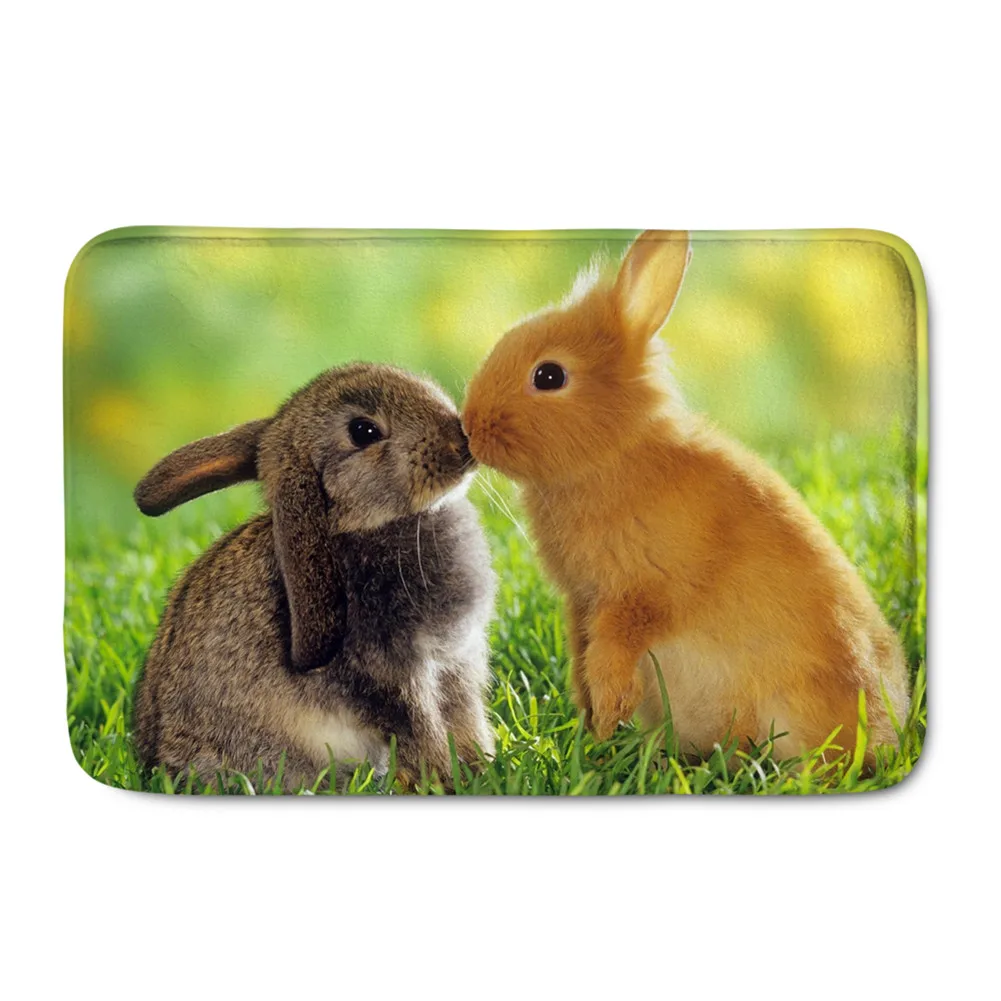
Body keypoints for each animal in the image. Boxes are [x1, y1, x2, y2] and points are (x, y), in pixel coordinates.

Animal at [131, 362, 497, 791]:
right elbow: (422, 729)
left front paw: (482, 767)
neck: (357, 524)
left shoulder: (457, 664)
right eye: (363, 431)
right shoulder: (394, 674)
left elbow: (465, 720)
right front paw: (448, 779)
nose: (461, 443)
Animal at [462, 231, 911, 763]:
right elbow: (582, 657)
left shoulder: (640, 596)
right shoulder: (582, 602)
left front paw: (608, 717)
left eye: (549, 376)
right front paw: (592, 727)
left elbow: (612, 652)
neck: (615, 454)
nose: (469, 428)